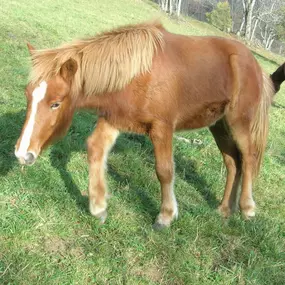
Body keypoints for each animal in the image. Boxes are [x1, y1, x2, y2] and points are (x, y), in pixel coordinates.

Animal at [15, 21, 272, 227]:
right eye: (27, 95)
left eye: (56, 103)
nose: (22, 153)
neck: (139, 74)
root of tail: (254, 64)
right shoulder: (114, 120)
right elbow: (95, 149)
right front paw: (98, 207)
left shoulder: (162, 128)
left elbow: (165, 170)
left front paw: (166, 216)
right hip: (219, 125)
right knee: (233, 162)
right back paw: (225, 209)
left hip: (239, 123)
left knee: (248, 158)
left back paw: (247, 208)